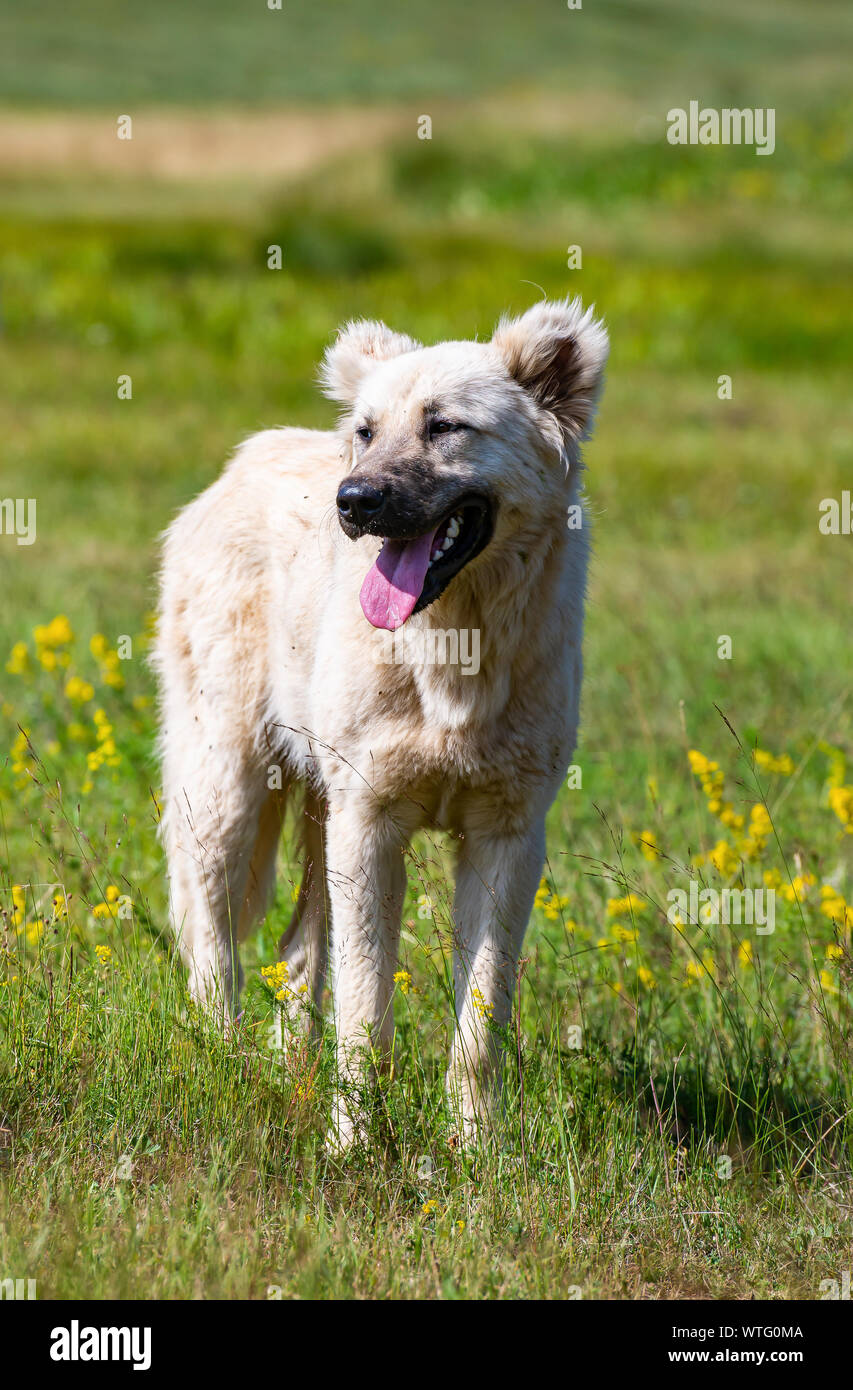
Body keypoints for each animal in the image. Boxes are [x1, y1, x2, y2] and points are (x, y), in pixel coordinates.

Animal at [153, 298, 608, 1145]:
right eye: (367, 431)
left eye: (445, 426)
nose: (353, 501)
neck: (452, 651)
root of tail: (241, 461)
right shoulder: (370, 823)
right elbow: (365, 1011)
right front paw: (353, 1146)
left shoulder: (506, 837)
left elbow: (479, 1020)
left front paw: (475, 1150)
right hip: (227, 794)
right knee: (212, 951)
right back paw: (224, 1070)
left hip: (317, 814)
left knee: (297, 954)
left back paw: (290, 1079)